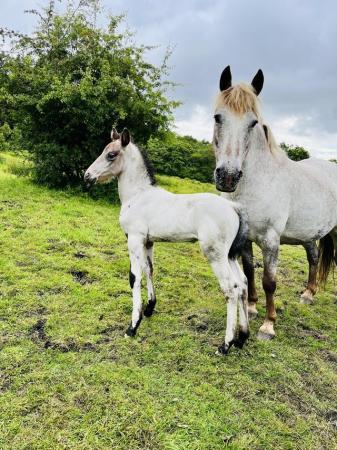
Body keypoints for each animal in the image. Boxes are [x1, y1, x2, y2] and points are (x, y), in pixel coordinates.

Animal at [84, 127, 249, 356]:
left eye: (111, 154)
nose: (87, 176)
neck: (138, 196)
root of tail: (234, 207)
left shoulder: (134, 239)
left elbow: (134, 277)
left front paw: (132, 326)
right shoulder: (148, 242)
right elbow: (149, 270)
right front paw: (149, 308)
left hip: (216, 255)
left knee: (231, 288)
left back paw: (225, 345)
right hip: (231, 255)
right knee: (242, 284)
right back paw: (242, 337)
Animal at [211, 66, 336, 338]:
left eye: (253, 123)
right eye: (217, 117)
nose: (228, 177)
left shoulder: (270, 240)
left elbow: (269, 281)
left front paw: (268, 325)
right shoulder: (244, 238)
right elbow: (249, 272)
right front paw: (251, 308)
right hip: (310, 235)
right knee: (313, 258)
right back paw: (308, 294)